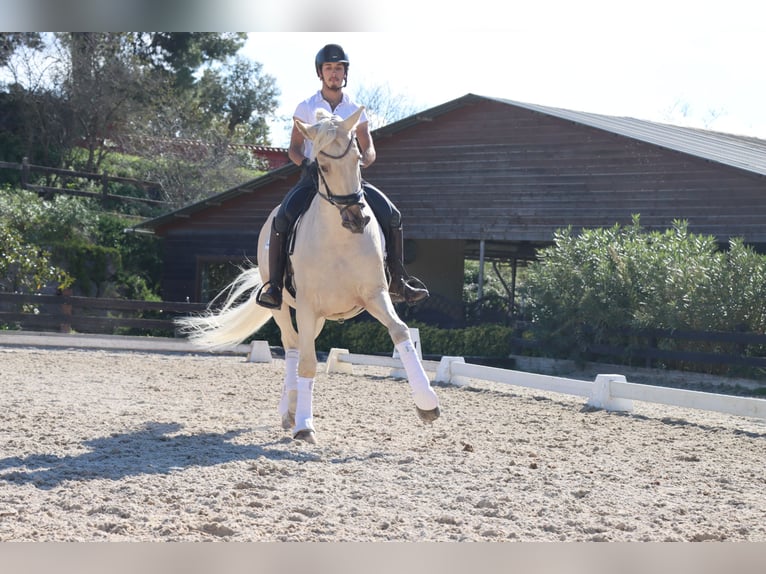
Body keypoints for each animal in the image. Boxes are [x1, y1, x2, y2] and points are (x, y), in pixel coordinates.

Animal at [175, 106, 440, 444]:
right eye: (323, 166)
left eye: (358, 159)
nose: (357, 219)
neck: (340, 239)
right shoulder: (306, 304)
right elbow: (307, 363)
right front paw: (303, 424)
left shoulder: (375, 295)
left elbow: (401, 332)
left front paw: (427, 404)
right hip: (285, 306)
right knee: (292, 346)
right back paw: (289, 412)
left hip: (321, 316)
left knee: (303, 343)